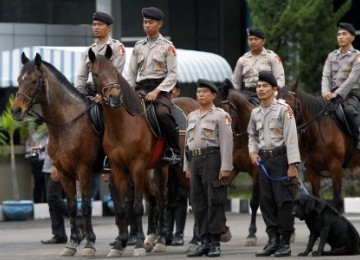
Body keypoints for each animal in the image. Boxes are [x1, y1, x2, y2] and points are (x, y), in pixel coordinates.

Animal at [10, 52, 102, 256]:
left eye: (34, 80)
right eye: (19, 80)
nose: (15, 110)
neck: (68, 123)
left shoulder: (84, 171)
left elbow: (86, 206)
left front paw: (90, 243)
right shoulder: (64, 173)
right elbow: (72, 206)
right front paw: (72, 243)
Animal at [88, 46, 198, 256]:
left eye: (115, 71)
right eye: (96, 74)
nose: (114, 97)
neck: (123, 125)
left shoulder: (137, 167)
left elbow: (138, 207)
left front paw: (138, 244)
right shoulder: (117, 169)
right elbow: (123, 207)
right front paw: (119, 245)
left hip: (183, 170)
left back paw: (196, 241)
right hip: (162, 167)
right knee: (162, 200)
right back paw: (161, 240)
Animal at [215, 82, 260, 245]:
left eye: (227, 114)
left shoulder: (257, 171)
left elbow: (254, 202)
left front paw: (252, 234)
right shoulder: (231, 168)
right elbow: (221, 198)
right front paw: (224, 231)